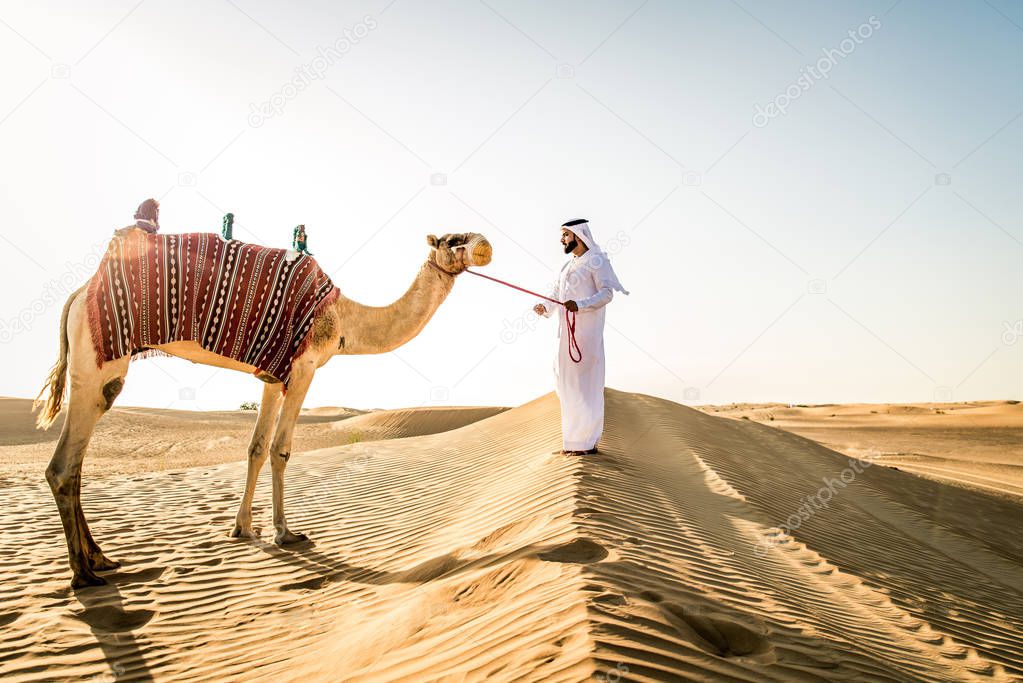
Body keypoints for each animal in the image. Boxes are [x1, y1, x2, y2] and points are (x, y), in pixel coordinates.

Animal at [31, 232, 491, 584]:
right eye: (454, 240)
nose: (484, 244)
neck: (345, 321)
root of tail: (78, 295)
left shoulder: (272, 377)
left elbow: (254, 447)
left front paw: (242, 528)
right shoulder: (303, 368)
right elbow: (280, 449)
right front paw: (285, 533)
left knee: (76, 464)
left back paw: (101, 558)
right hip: (99, 361)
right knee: (63, 466)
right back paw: (84, 574)